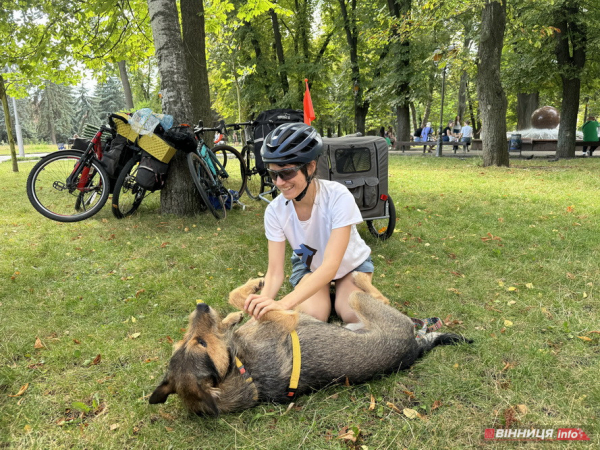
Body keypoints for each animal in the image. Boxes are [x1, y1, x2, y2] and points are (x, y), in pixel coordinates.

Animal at [149, 270, 468, 414]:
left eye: (188, 341)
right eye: (200, 344)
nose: (201, 305)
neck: (242, 367)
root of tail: (415, 347)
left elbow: (238, 301)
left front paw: (233, 313)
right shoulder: (286, 317)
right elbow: (247, 301)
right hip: (362, 304)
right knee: (377, 297)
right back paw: (359, 276)